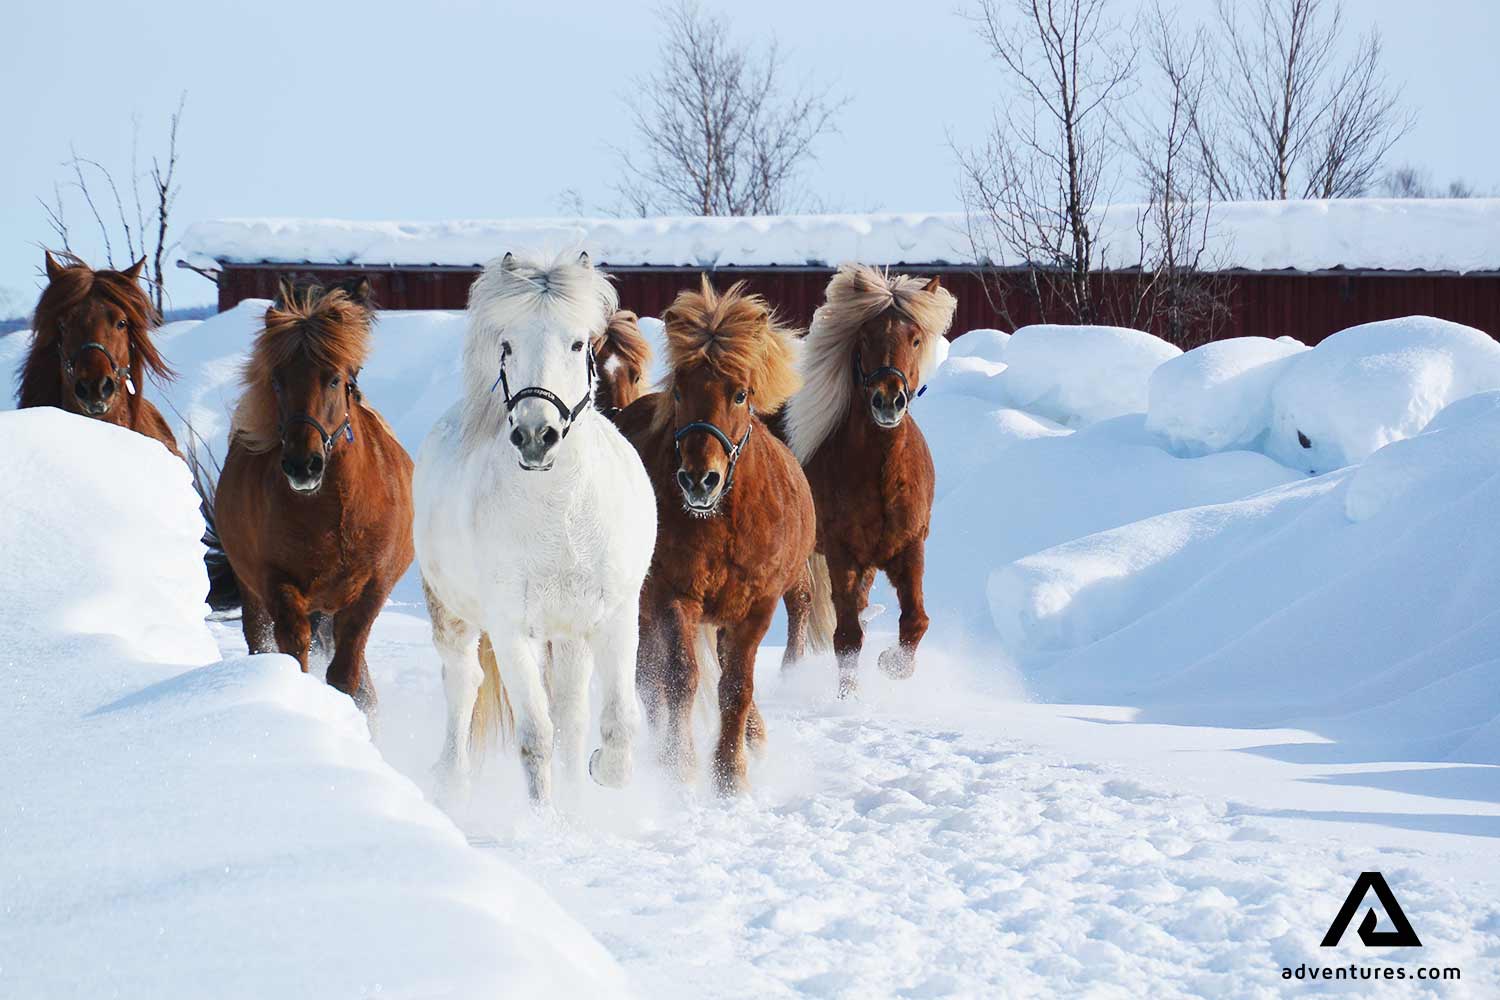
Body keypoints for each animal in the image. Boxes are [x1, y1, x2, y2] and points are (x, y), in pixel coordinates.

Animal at [215, 282, 414, 714]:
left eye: (334, 380)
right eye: (277, 381)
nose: (302, 465)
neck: (335, 516)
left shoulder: (370, 592)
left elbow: (347, 675)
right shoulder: (277, 584)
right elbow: (295, 651)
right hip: (255, 596)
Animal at [413, 251, 656, 807]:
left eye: (578, 343)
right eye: (507, 345)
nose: (535, 436)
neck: (561, 515)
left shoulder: (614, 618)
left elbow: (616, 724)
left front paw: (597, 776)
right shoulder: (511, 629)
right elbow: (535, 737)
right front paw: (547, 822)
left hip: (570, 635)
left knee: (571, 710)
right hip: (452, 614)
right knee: (463, 681)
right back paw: (452, 780)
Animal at [616, 277, 815, 795]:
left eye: (741, 393)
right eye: (680, 391)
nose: (698, 479)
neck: (722, 523)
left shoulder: (757, 606)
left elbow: (737, 684)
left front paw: (730, 772)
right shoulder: (673, 597)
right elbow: (680, 680)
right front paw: (680, 765)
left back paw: (755, 738)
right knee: (650, 682)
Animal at [781, 264, 955, 696]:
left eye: (914, 338)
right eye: (865, 337)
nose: (887, 400)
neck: (881, 473)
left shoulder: (909, 548)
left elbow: (915, 620)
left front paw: (893, 664)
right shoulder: (843, 553)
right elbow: (846, 637)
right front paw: (849, 699)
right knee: (799, 605)